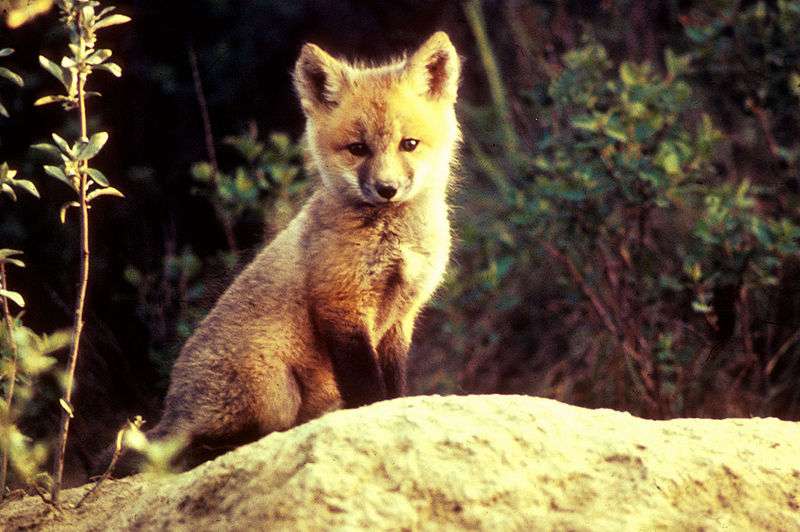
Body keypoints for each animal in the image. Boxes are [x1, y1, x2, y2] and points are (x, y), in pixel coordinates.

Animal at [102, 31, 460, 472]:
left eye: (409, 144)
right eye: (357, 149)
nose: (387, 188)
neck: (392, 241)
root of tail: (173, 408)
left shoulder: (401, 314)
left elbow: (394, 385)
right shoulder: (341, 304)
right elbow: (367, 389)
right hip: (274, 392)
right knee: (199, 448)